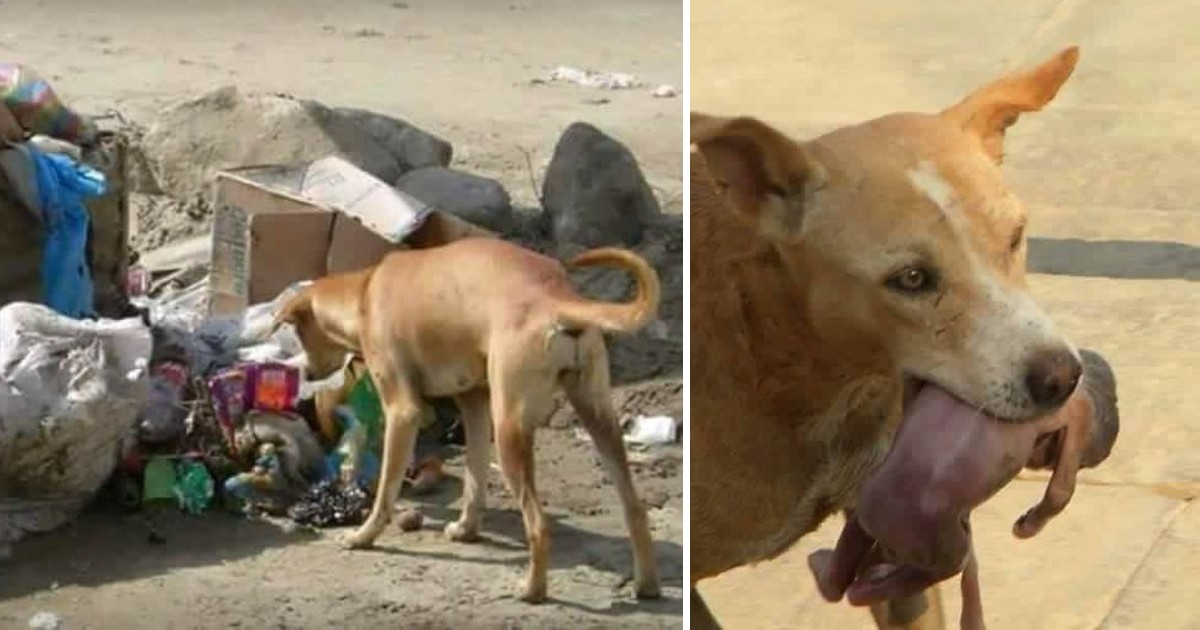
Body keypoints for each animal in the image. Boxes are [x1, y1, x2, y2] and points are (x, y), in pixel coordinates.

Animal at [271, 238, 662, 602]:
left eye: (299, 333)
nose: (307, 372)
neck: (365, 292)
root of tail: (556, 297)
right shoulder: (474, 404)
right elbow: (474, 479)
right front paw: (466, 529)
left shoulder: (402, 411)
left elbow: (385, 491)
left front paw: (363, 536)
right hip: (598, 417)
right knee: (635, 508)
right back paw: (646, 585)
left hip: (510, 432)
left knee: (538, 525)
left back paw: (532, 590)